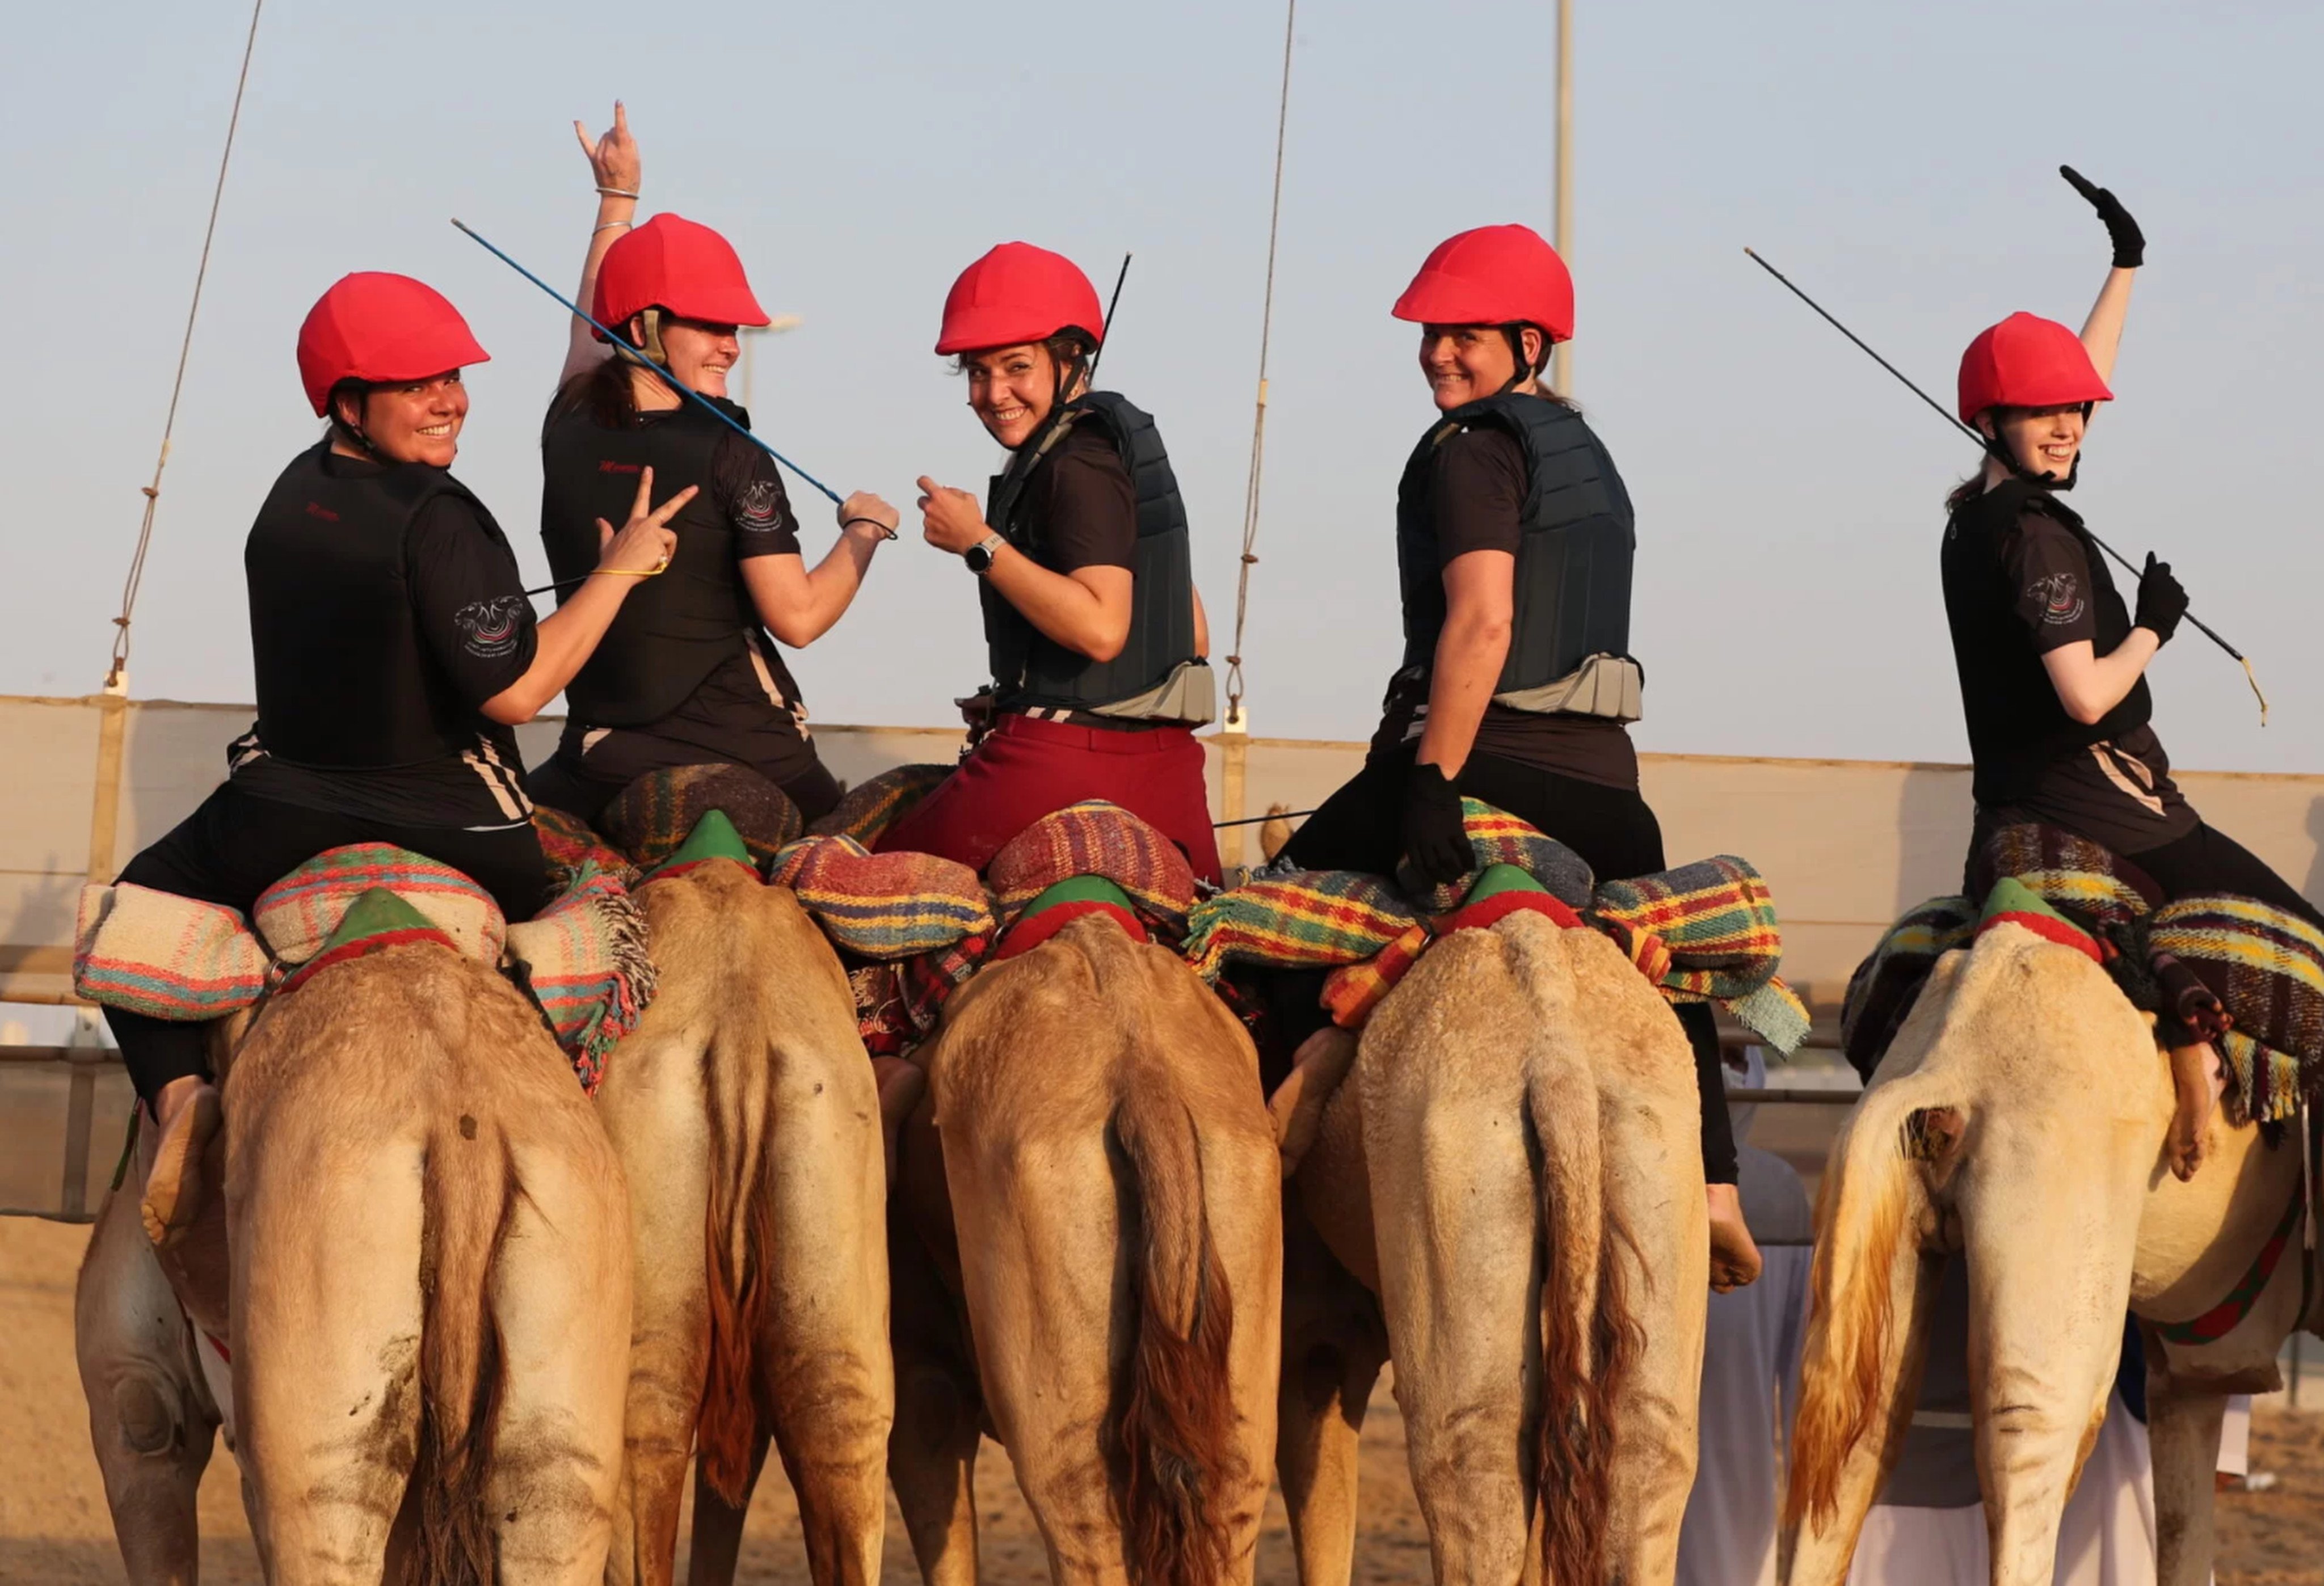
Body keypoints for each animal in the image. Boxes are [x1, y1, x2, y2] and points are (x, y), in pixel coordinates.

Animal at [1273, 910, 1710, 1579]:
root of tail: (1556, 1056)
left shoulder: (1312, 1319)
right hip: (1656, 1145)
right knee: (1645, 1450)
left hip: (1446, 1153)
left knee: (1470, 1457)